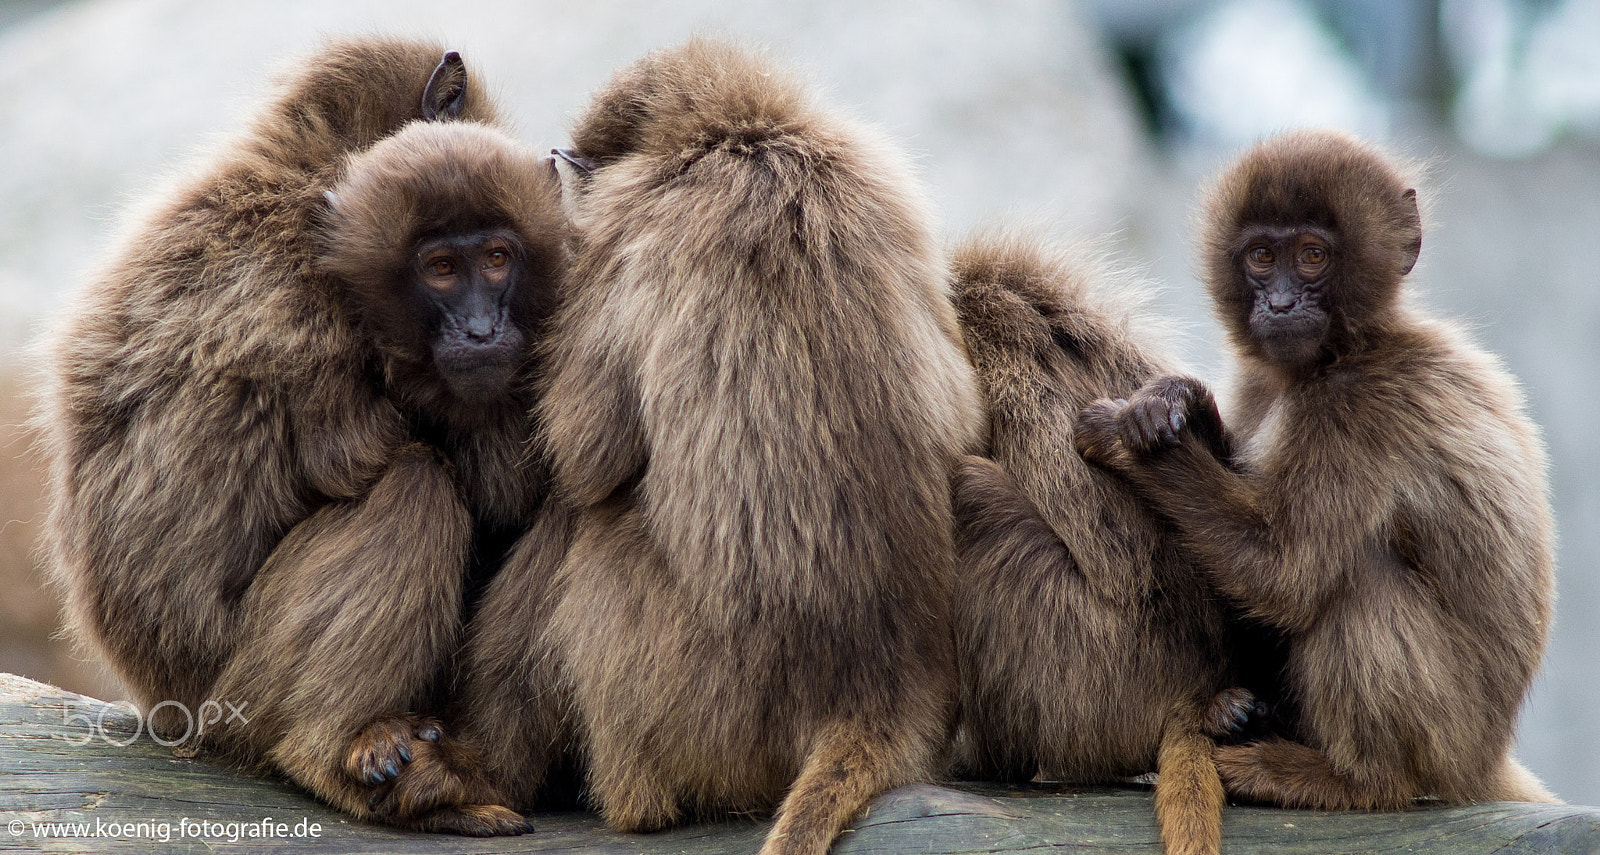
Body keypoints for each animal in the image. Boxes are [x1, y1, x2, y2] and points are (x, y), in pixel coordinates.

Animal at [36, 36, 576, 832]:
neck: (303, 168)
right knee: (413, 485)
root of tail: (164, 706)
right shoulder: (302, 303)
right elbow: (398, 467)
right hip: (239, 695)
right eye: (444, 270)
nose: (483, 330)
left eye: (498, 261)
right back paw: (332, 753)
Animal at [464, 38, 979, 855]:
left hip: (696, 702)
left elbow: (584, 458)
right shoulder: (883, 177)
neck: (747, 139)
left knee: (583, 524)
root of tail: (877, 689)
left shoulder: (628, 232)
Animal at [1075, 130, 1561, 813]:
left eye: (1311, 256)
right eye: (1260, 255)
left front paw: (1125, 439)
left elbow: (1282, 572)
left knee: (1360, 582)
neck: (1340, 354)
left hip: (1448, 736)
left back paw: (1356, 780)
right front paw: (1177, 402)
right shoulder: (1264, 381)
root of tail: (1483, 760)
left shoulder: (1358, 410)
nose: (1280, 304)